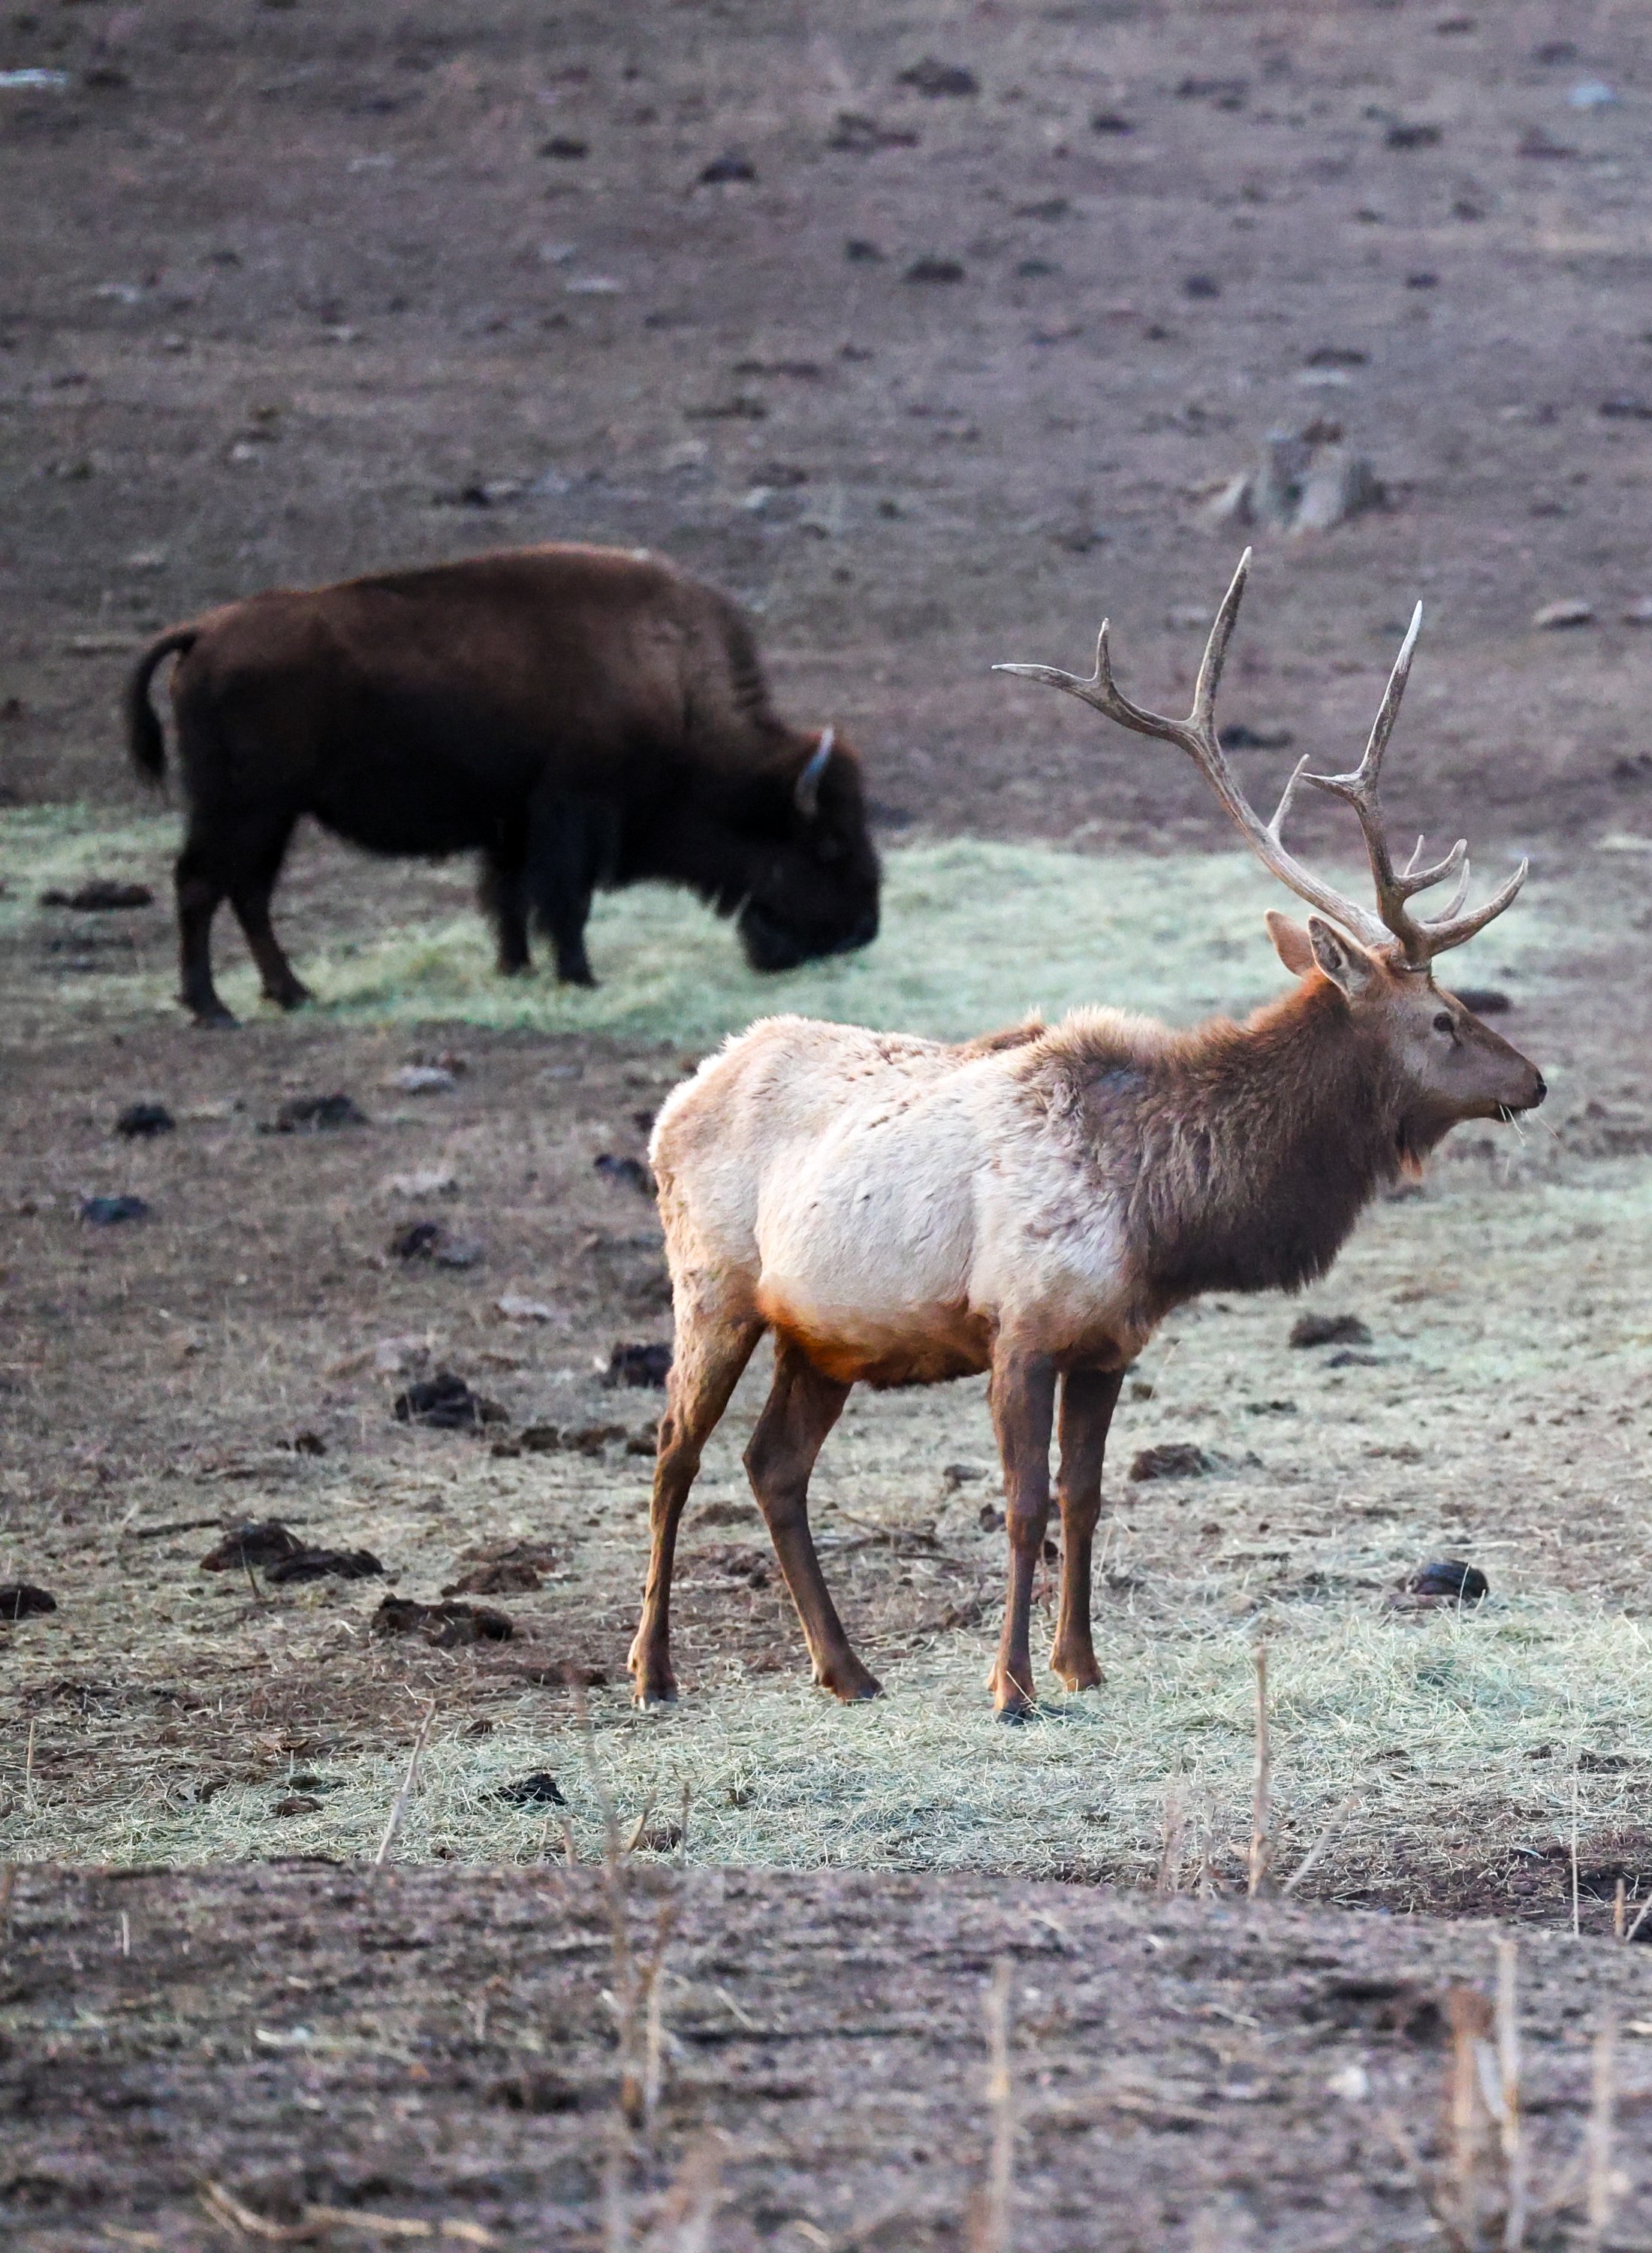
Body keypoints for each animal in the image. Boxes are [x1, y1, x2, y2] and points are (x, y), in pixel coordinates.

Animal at [125, 543, 881, 1025]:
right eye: (829, 846)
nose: (860, 934)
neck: (672, 679)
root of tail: (204, 632)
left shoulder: (515, 820)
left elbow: (509, 895)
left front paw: (515, 968)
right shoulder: (574, 809)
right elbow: (565, 899)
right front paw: (579, 975)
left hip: (270, 814)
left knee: (246, 892)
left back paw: (291, 994)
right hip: (244, 807)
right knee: (203, 886)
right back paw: (213, 1007)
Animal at [628, 552, 1545, 1719]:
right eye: (1441, 1019)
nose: (1535, 1080)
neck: (1160, 1219)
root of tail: (679, 1098)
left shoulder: (1109, 1342)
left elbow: (1088, 1497)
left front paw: (1083, 1665)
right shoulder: (1018, 1328)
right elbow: (1025, 1504)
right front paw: (1011, 1686)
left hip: (821, 1332)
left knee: (771, 1465)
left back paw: (846, 1670)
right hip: (712, 1286)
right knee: (673, 1453)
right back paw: (653, 1671)